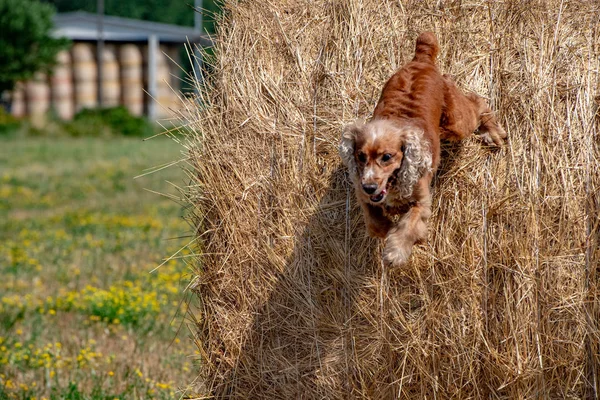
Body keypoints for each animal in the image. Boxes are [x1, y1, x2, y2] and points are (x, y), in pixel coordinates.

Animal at [340, 32, 504, 266]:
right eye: (360, 157)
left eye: (387, 157)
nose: (369, 187)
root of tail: (422, 59)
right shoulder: (364, 197)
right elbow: (374, 223)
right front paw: (389, 229)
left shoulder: (421, 201)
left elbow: (409, 225)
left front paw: (396, 252)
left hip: (457, 122)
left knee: (476, 101)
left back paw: (492, 132)